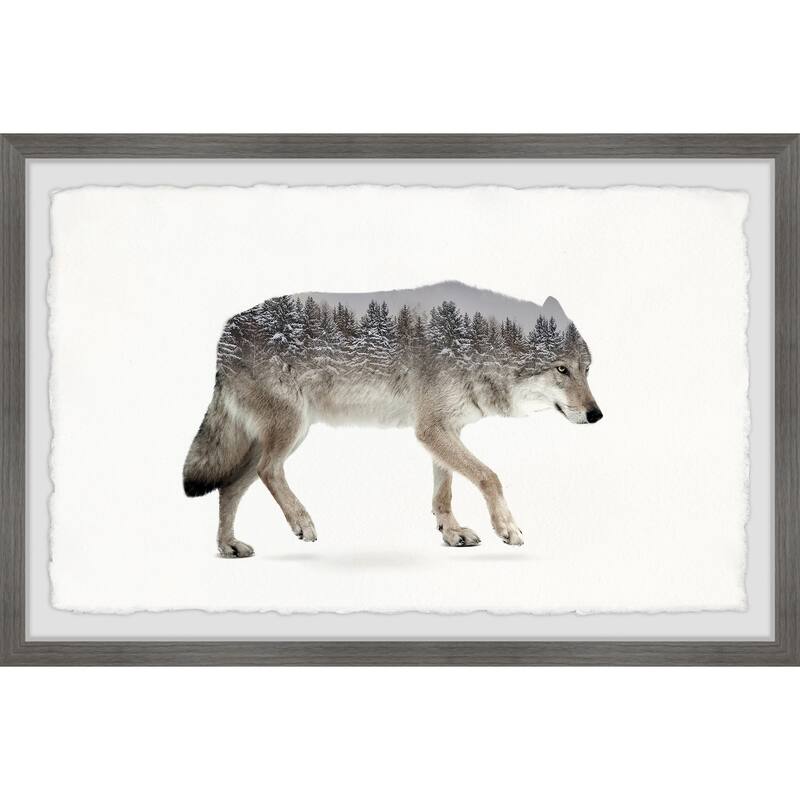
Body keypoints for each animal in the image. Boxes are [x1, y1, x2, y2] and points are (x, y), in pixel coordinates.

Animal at [183, 281, 602, 556]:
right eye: (562, 369)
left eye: (586, 370)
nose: (597, 414)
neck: (475, 345)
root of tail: (225, 333)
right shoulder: (432, 430)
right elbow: (489, 476)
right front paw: (507, 528)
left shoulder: (444, 430)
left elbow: (443, 493)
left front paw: (451, 533)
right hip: (291, 431)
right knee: (268, 471)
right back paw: (302, 522)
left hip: (269, 440)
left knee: (229, 488)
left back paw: (228, 546)